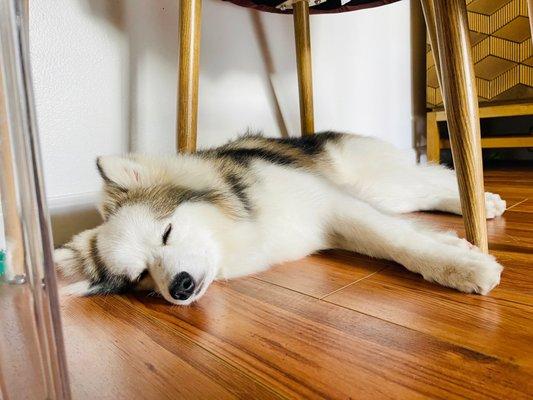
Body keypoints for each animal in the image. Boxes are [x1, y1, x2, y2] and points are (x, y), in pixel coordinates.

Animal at [55, 133, 508, 304]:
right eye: (142, 277)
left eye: (166, 232)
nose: (179, 288)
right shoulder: (338, 222)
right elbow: (394, 236)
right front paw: (455, 250)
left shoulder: (334, 204)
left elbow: (400, 241)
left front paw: (460, 266)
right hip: (381, 193)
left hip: (380, 183)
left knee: (436, 178)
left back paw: (481, 201)